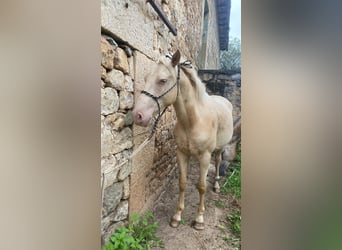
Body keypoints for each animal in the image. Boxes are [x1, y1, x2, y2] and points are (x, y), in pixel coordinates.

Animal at [132, 50, 234, 230]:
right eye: (145, 78)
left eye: (162, 80)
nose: (138, 115)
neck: (193, 121)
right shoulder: (181, 153)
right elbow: (183, 183)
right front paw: (177, 216)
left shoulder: (205, 156)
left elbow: (202, 186)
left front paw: (199, 219)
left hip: (220, 149)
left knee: (217, 161)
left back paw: (216, 185)